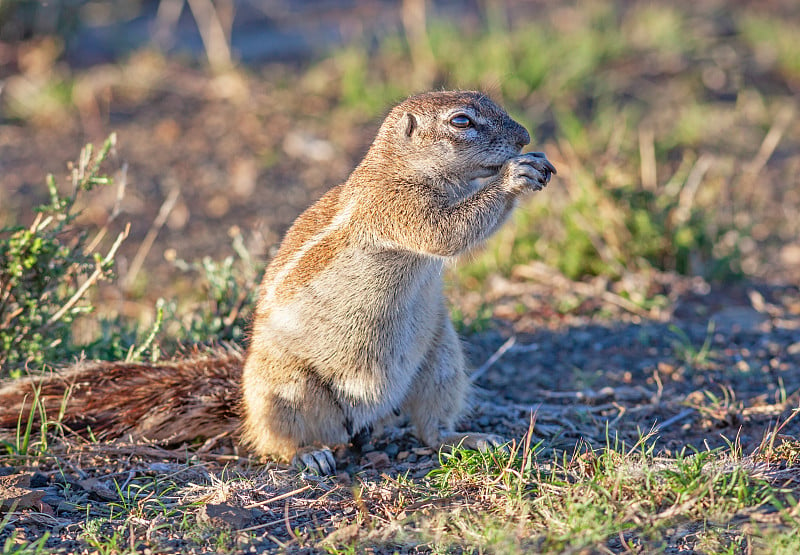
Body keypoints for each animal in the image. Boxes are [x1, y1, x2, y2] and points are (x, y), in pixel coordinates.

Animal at [0, 91, 552, 474]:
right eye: (462, 121)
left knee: (430, 426)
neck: (397, 167)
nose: (526, 138)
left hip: (442, 358)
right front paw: (514, 176)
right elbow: (446, 232)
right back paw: (308, 456)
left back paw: (469, 439)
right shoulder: (394, 207)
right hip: (289, 391)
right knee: (281, 442)